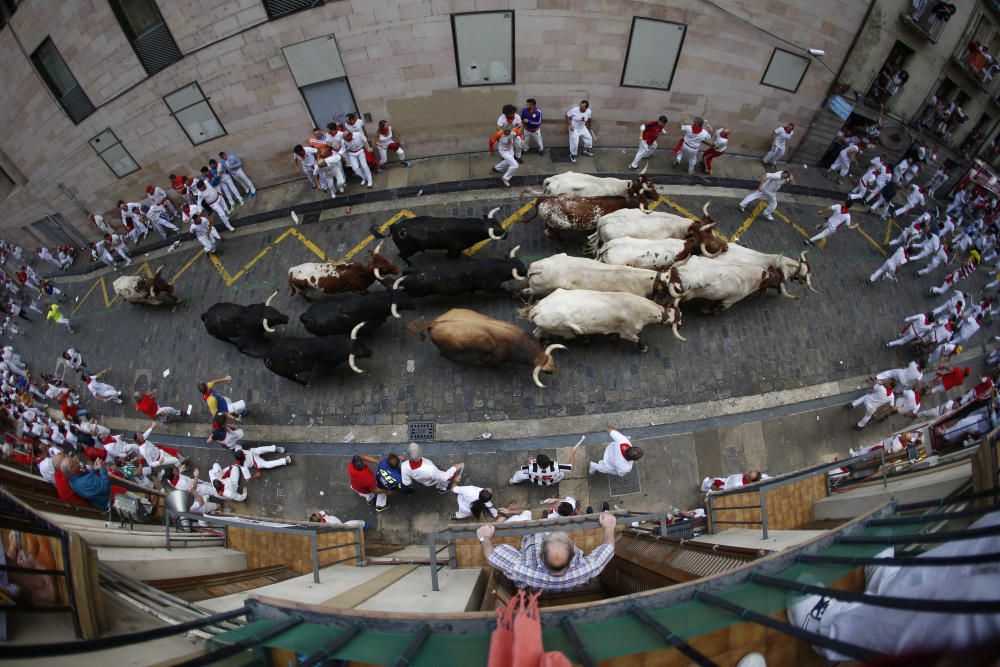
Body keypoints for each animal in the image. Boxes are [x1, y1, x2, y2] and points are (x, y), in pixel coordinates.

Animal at [370, 207, 504, 264]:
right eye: (496, 228)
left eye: (497, 222)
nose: (504, 232)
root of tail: (395, 226)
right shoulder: (453, 249)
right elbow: (452, 256)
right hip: (409, 249)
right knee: (401, 255)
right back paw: (409, 264)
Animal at [416, 310, 572, 388]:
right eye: (546, 371)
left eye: (553, 362)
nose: (553, 371)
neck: (520, 343)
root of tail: (434, 323)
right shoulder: (494, 358)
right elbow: (487, 362)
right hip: (449, 349)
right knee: (445, 354)